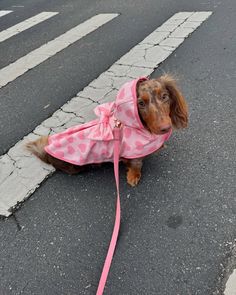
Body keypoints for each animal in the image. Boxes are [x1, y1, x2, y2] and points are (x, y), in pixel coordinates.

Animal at [25, 76, 188, 187]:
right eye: (141, 103)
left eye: (165, 96)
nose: (165, 128)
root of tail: (47, 152)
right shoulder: (133, 155)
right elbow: (136, 165)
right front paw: (133, 177)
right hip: (74, 167)